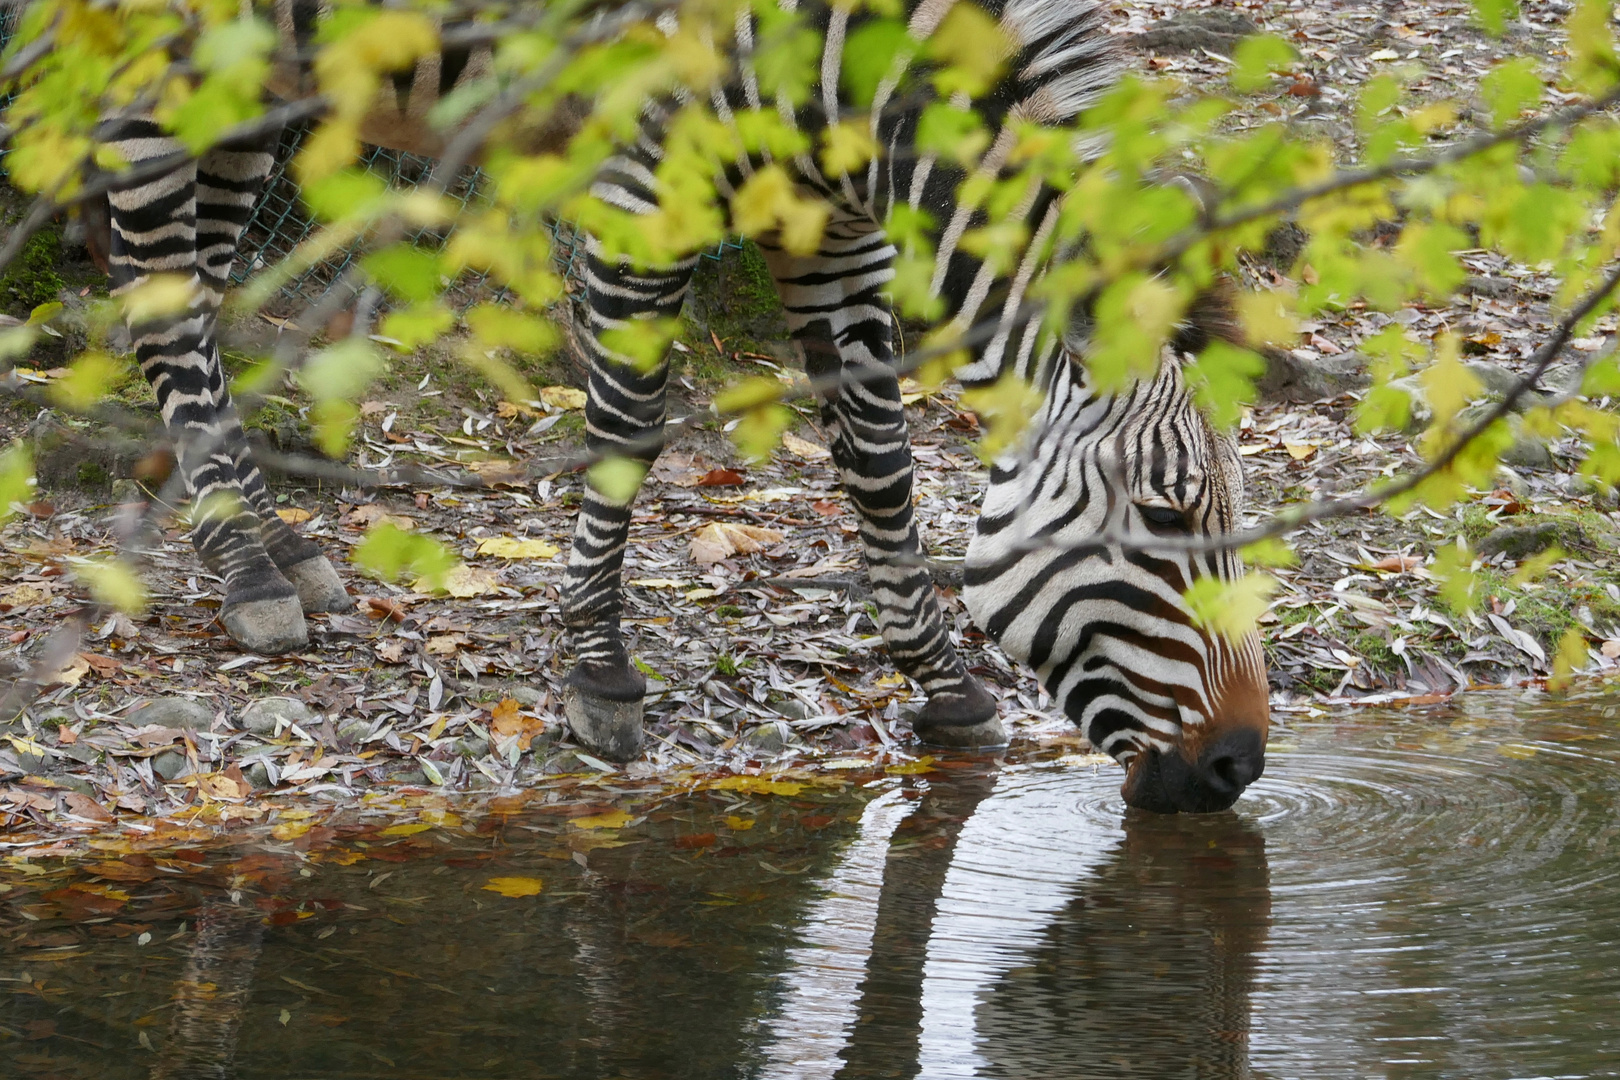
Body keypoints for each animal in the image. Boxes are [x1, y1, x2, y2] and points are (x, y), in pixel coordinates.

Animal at [69, 0, 1270, 809]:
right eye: (1164, 518)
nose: (1239, 767)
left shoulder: (831, 228)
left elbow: (878, 451)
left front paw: (939, 678)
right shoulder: (641, 191)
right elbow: (629, 425)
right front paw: (598, 672)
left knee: (193, 287)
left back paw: (272, 543)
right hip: (148, 59)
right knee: (160, 296)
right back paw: (250, 572)